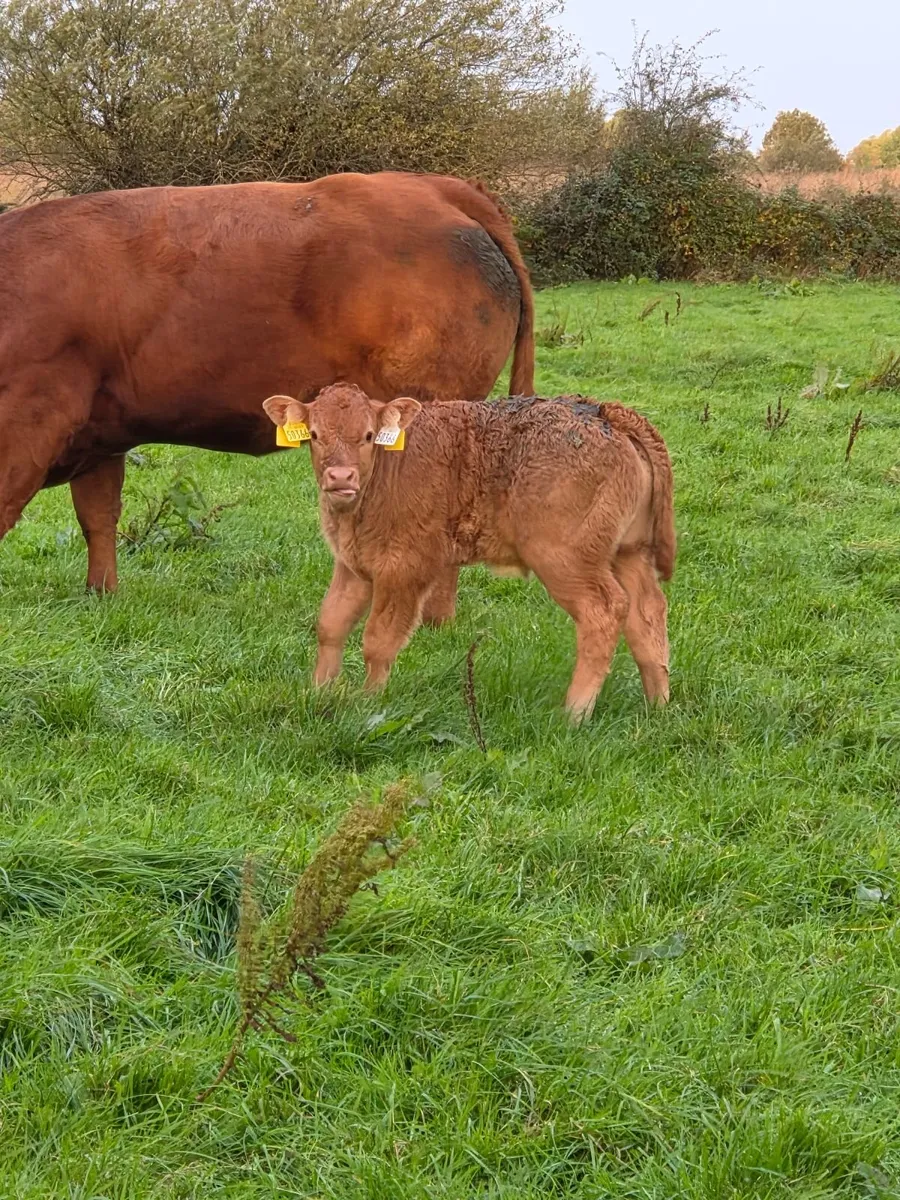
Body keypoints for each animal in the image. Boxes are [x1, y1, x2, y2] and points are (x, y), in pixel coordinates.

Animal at [0, 172, 534, 621]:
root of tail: (435, 186)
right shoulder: (100, 435)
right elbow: (98, 517)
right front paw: (101, 597)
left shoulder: (27, 426)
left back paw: (431, 622)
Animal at [262, 383, 676, 721]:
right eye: (315, 435)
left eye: (367, 435)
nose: (340, 477)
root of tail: (603, 411)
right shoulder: (353, 565)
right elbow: (330, 625)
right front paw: (320, 692)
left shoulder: (404, 568)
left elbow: (378, 640)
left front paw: (369, 701)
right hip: (629, 552)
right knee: (646, 611)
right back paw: (657, 703)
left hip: (565, 558)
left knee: (603, 611)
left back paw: (575, 712)